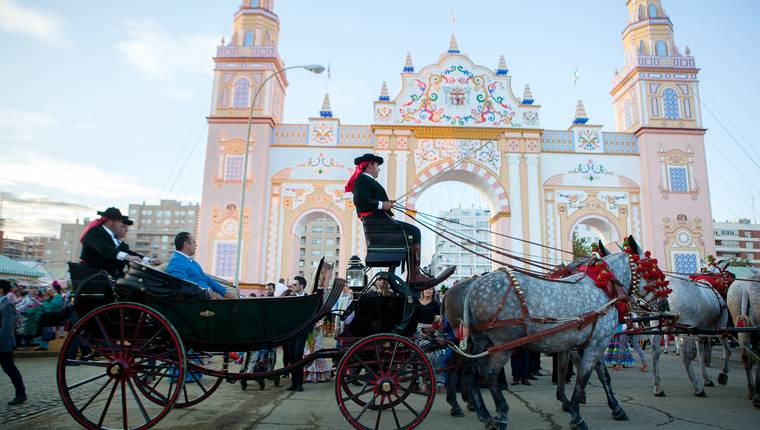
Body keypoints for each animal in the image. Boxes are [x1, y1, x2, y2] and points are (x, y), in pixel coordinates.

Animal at [448, 242, 644, 430]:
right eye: (647, 266)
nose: (646, 302)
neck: (603, 287)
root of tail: (472, 288)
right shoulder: (596, 344)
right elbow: (584, 377)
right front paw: (578, 415)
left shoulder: (569, 344)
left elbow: (570, 374)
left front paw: (574, 404)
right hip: (503, 345)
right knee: (488, 373)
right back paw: (500, 413)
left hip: (480, 342)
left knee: (469, 373)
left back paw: (483, 413)